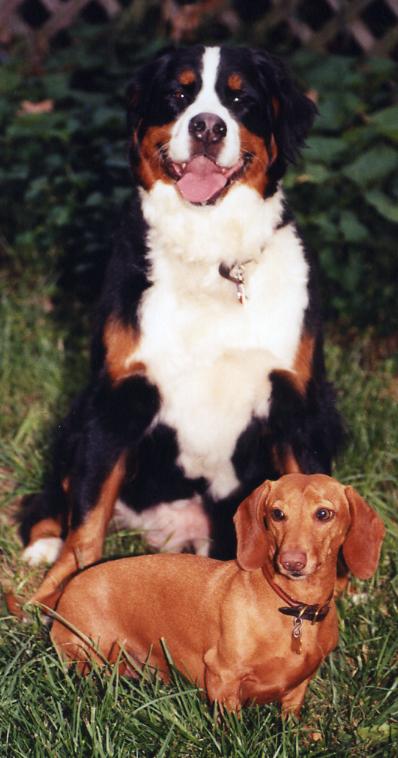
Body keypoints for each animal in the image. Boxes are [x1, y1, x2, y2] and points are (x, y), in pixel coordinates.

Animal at [18, 46, 342, 604]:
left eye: (240, 98)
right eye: (178, 94)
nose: (208, 126)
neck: (210, 257)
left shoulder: (297, 404)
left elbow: (310, 488)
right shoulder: (118, 396)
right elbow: (88, 519)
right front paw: (57, 597)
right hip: (77, 415)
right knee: (57, 498)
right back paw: (41, 546)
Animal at [48, 476, 384, 720]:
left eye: (324, 513)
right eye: (277, 513)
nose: (292, 562)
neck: (293, 609)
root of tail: (66, 593)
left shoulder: (298, 688)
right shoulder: (223, 678)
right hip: (92, 656)